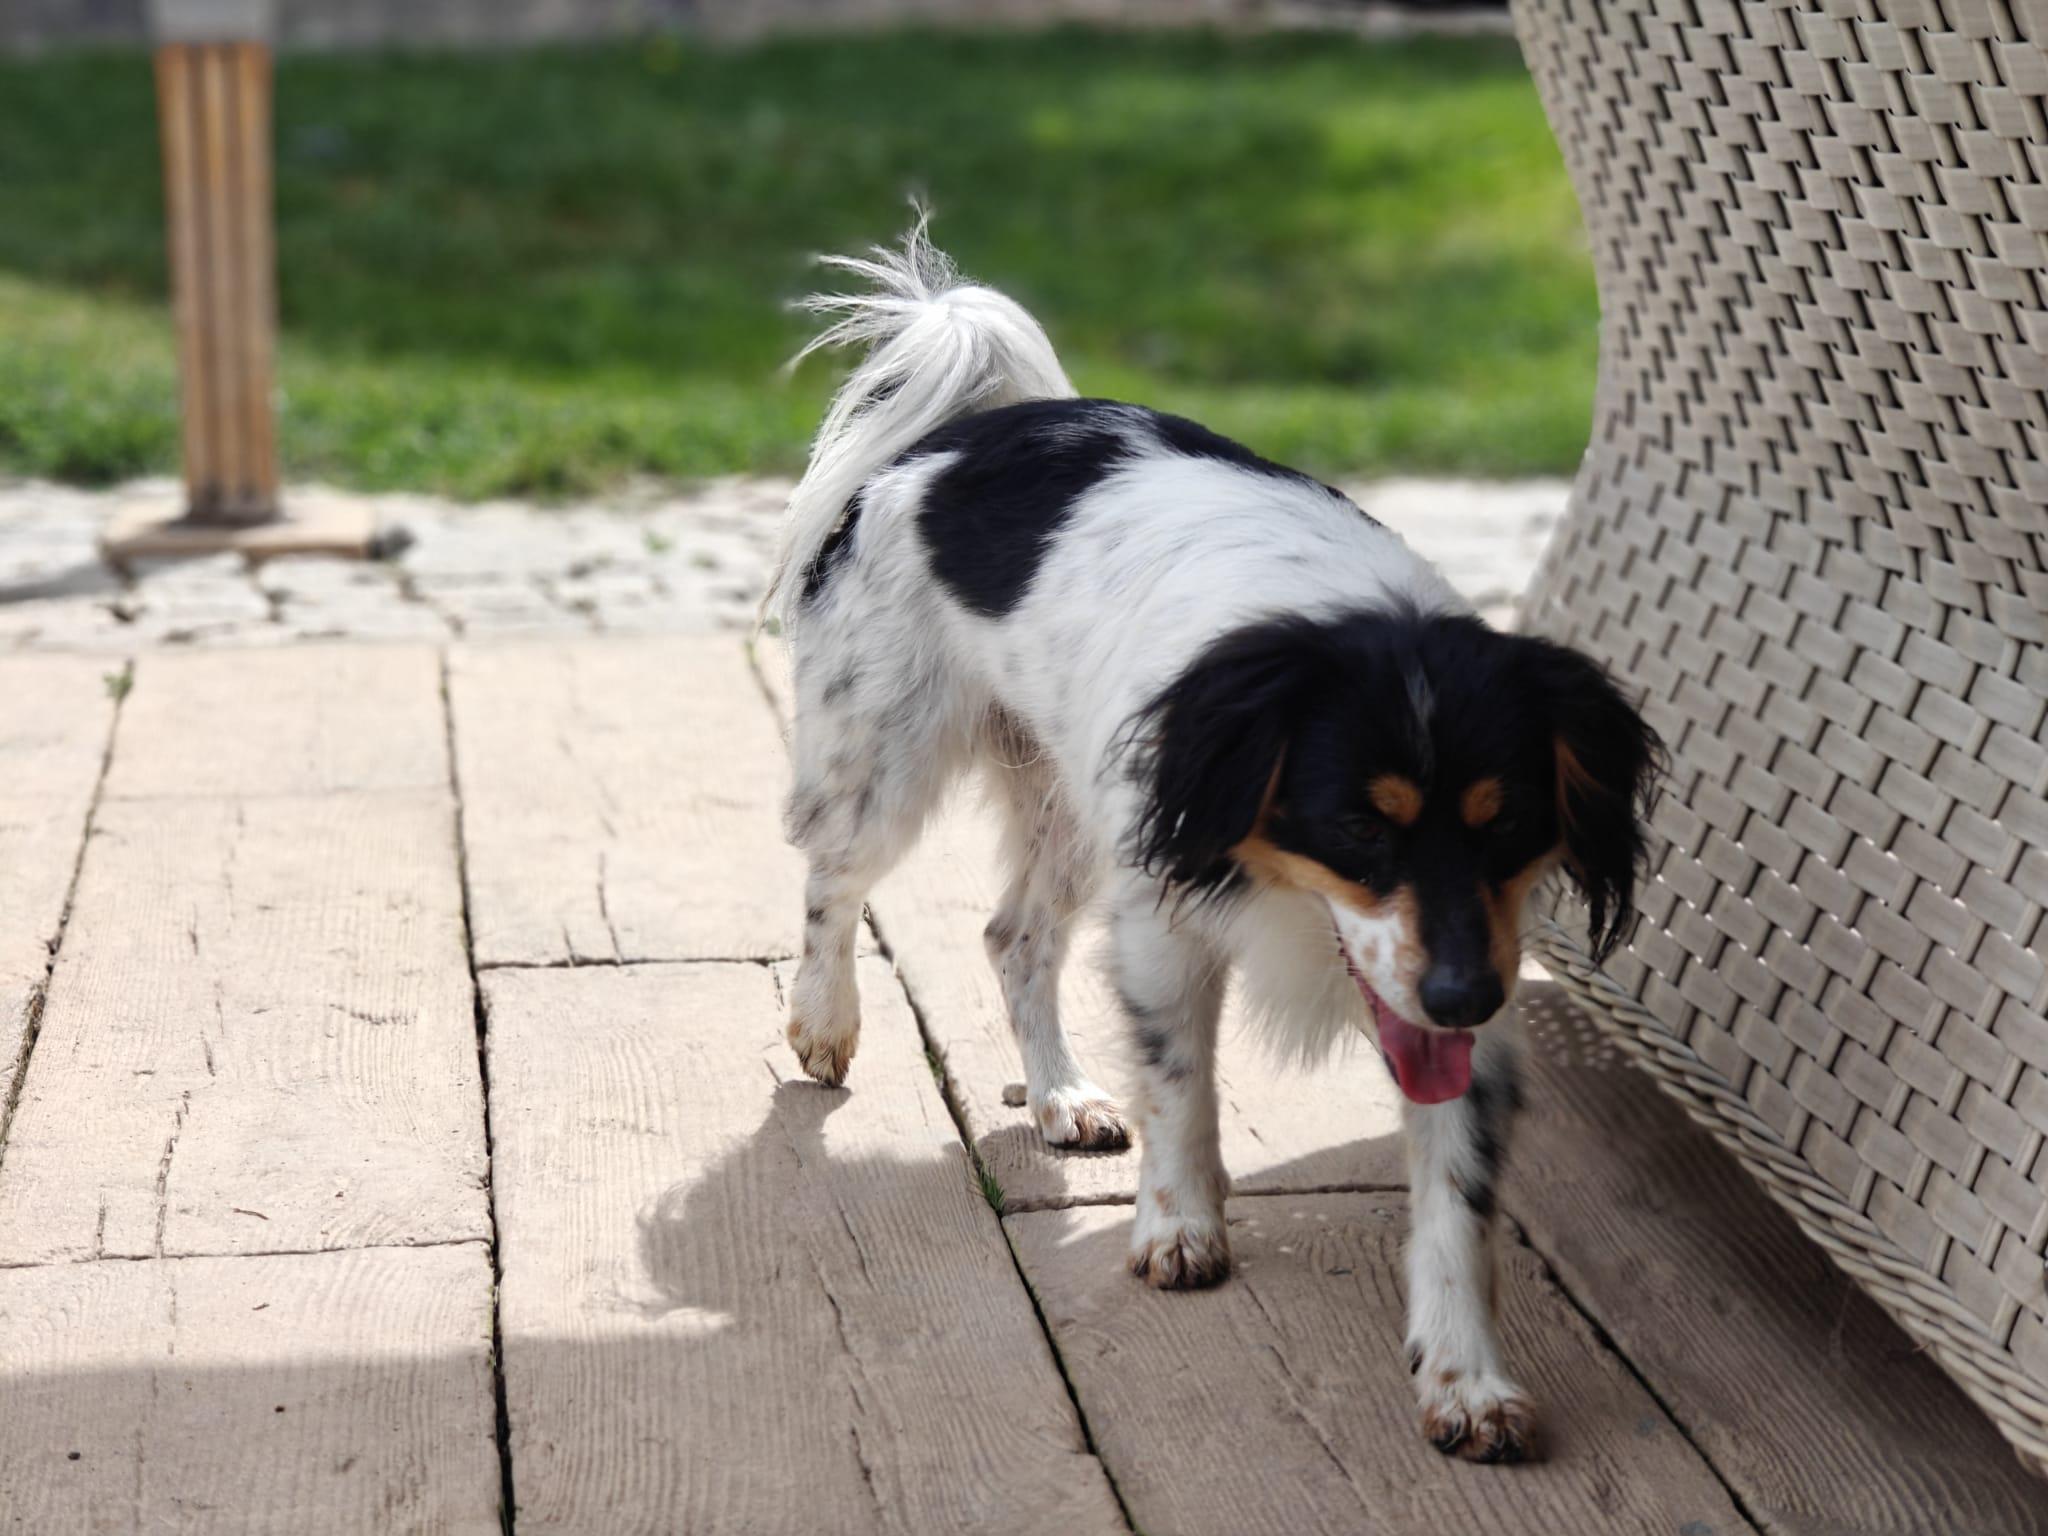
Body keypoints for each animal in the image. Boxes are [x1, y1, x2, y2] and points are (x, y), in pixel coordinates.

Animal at [766, 219, 1659, 1464]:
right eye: (1354, 824)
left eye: (1511, 827)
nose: (1458, 996)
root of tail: (970, 427)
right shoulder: (1167, 917)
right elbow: (1181, 1083)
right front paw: (1178, 1227)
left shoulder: (1471, 978)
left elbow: (1455, 1202)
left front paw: (1467, 1378)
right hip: (887, 762)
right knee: (832, 882)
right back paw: (825, 1021)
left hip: (1070, 802)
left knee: (1012, 936)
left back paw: (1059, 1094)